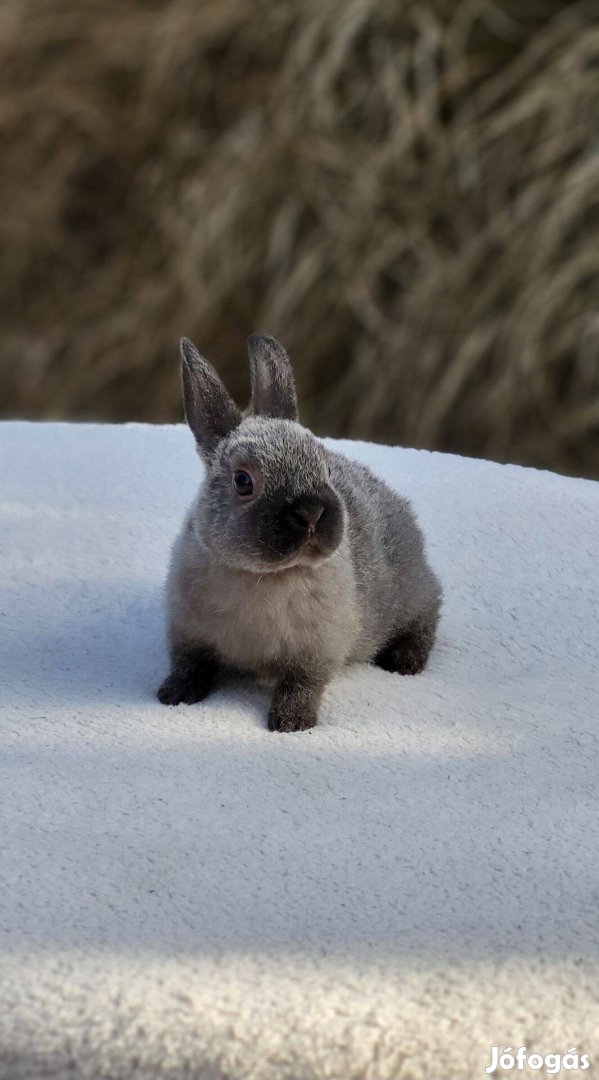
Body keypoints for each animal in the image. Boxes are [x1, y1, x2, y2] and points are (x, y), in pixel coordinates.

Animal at [157, 332, 442, 730]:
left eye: (324, 466)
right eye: (243, 481)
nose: (312, 513)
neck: (262, 575)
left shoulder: (314, 651)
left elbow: (301, 684)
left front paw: (292, 723)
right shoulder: (187, 633)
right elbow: (189, 666)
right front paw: (174, 695)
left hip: (410, 594)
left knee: (429, 612)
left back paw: (405, 661)